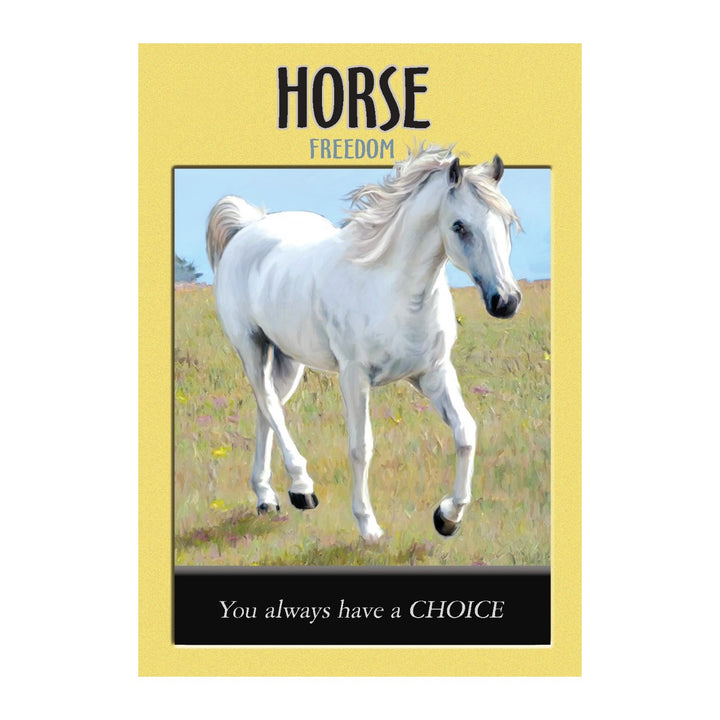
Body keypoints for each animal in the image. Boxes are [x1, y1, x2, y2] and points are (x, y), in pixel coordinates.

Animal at [206, 145, 522, 543]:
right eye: (459, 226)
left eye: (506, 223)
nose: (506, 301)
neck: (395, 293)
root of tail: (249, 226)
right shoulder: (354, 377)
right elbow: (361, 447)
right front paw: (368, 526)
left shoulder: (433, 373)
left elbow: (466, 432)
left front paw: (448, 517)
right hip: (252, 346)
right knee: (269, 404)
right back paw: (303, 488)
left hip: (288, 358)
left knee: (268, 406)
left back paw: (268, 497)